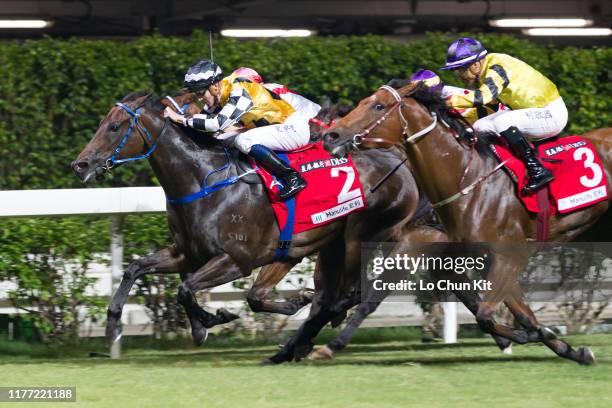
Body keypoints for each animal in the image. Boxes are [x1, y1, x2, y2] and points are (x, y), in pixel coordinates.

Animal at [322, 83, 608, 366]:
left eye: (378, 106)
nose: (332, 136)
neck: (467, 179)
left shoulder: (481, 252)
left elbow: (485, 314)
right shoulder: (474, 258)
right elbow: (513, 314)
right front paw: (568, 348)